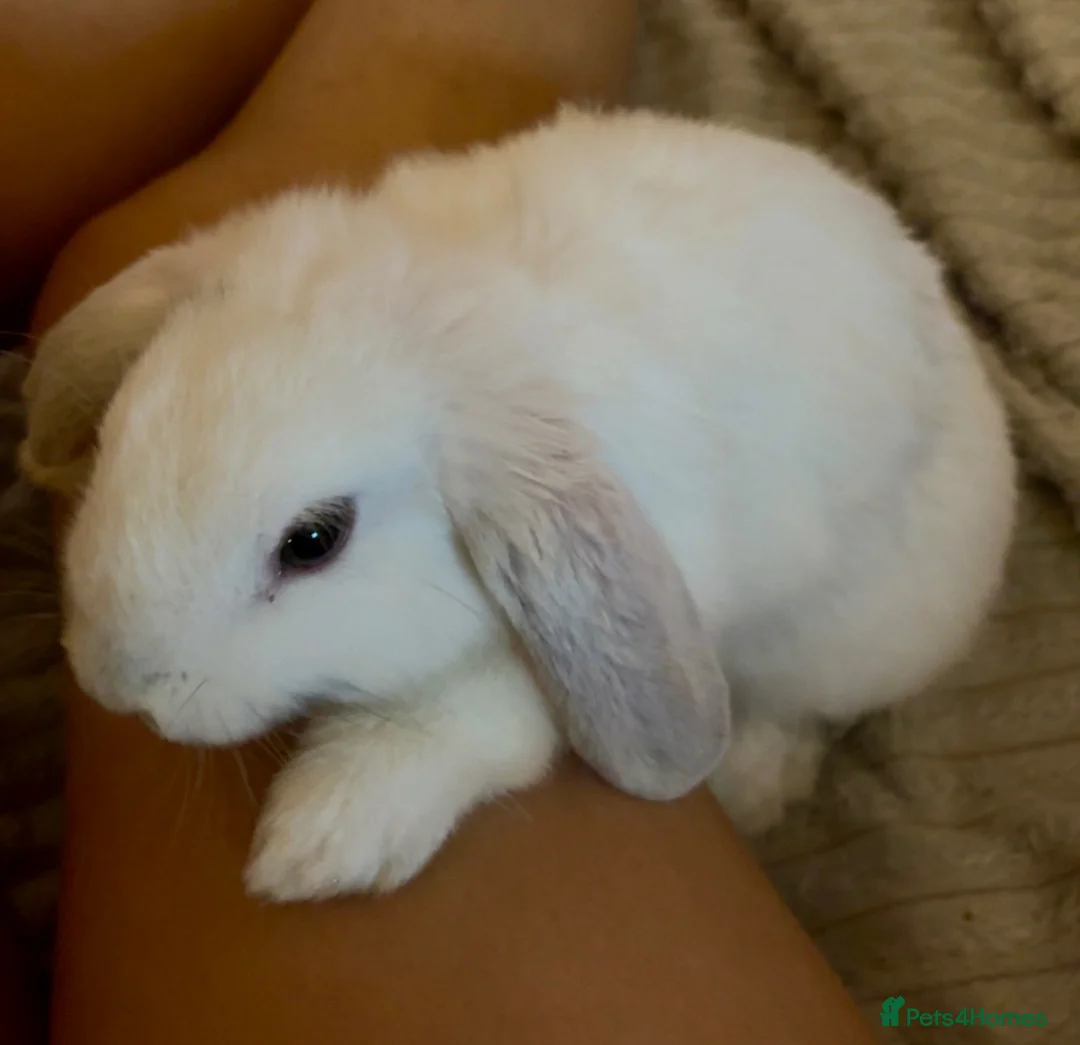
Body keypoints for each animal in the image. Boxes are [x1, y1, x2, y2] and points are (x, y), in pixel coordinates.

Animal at [20, 106, 1016, 901]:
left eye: (314, 539)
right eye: (118, 432)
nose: (119, 686)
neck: (446, 322)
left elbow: (471, 717)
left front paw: (323, 837)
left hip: (854, 635)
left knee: (804, 707)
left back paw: (752, 780)